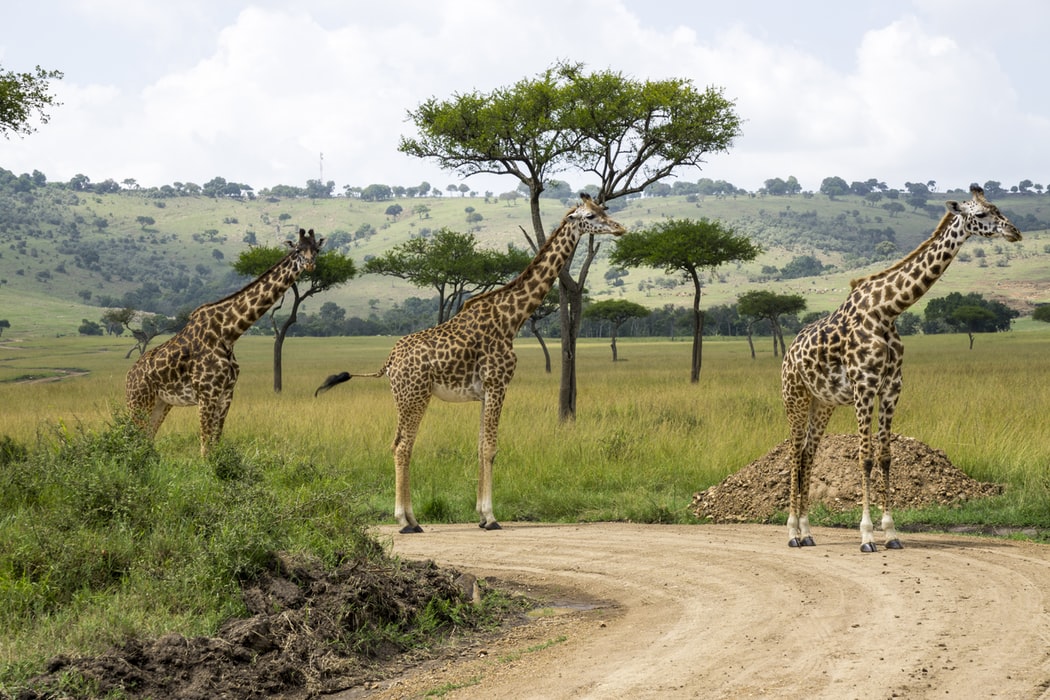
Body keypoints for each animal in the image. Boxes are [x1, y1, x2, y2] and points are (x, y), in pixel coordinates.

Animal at [123, 225, 321, 455]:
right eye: (297, 250)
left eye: (316, 249)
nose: (310, 264)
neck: (229, 332)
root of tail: (128, 376)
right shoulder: (206, 394)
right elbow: (205, 448)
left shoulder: (226, 394)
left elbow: (215, 444)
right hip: (138, 401)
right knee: (131, 439)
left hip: (161, 403)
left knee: (145, 439)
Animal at [310, 194, 621, 533]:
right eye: (591, 215)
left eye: (604, 210)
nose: (619, 228)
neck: (512, 318)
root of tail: (389, 361)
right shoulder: (498, 384)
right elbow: (491, 448)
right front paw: (492, 518)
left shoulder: (484, 392)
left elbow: (480, 446)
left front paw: (482, 516)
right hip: (414, 396)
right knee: (403, 446)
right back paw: (405, 521)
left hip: (402, 398)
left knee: (398, 444)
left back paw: (413, 519)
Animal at [785, 185, 1020, 554]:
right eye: (981, 214)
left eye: (998, 209)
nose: (1014, 232)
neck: (888, 310)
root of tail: (788, 353)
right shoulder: (864, 386)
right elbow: (865, 457)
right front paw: (867, 536)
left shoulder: (892, 387)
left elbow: (885, 456)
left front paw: (891, 533)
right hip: (795, 397)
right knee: (794, 454)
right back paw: (792, 533)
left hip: (822, 403)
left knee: (809, 452)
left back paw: (808, 532)